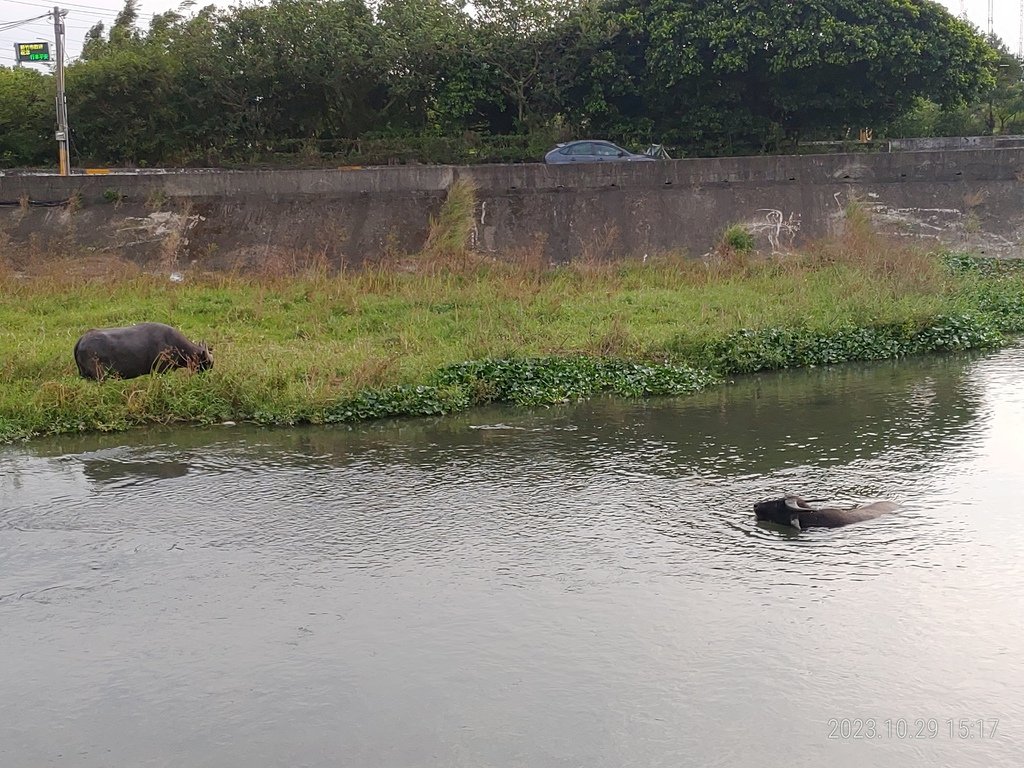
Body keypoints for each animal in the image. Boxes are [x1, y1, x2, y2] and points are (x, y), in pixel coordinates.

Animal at [73, 321, 211, 382]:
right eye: (208, 363)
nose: (207, 378)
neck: (175, 344)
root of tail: (81, 340)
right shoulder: (161, 370)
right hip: (99, 375)